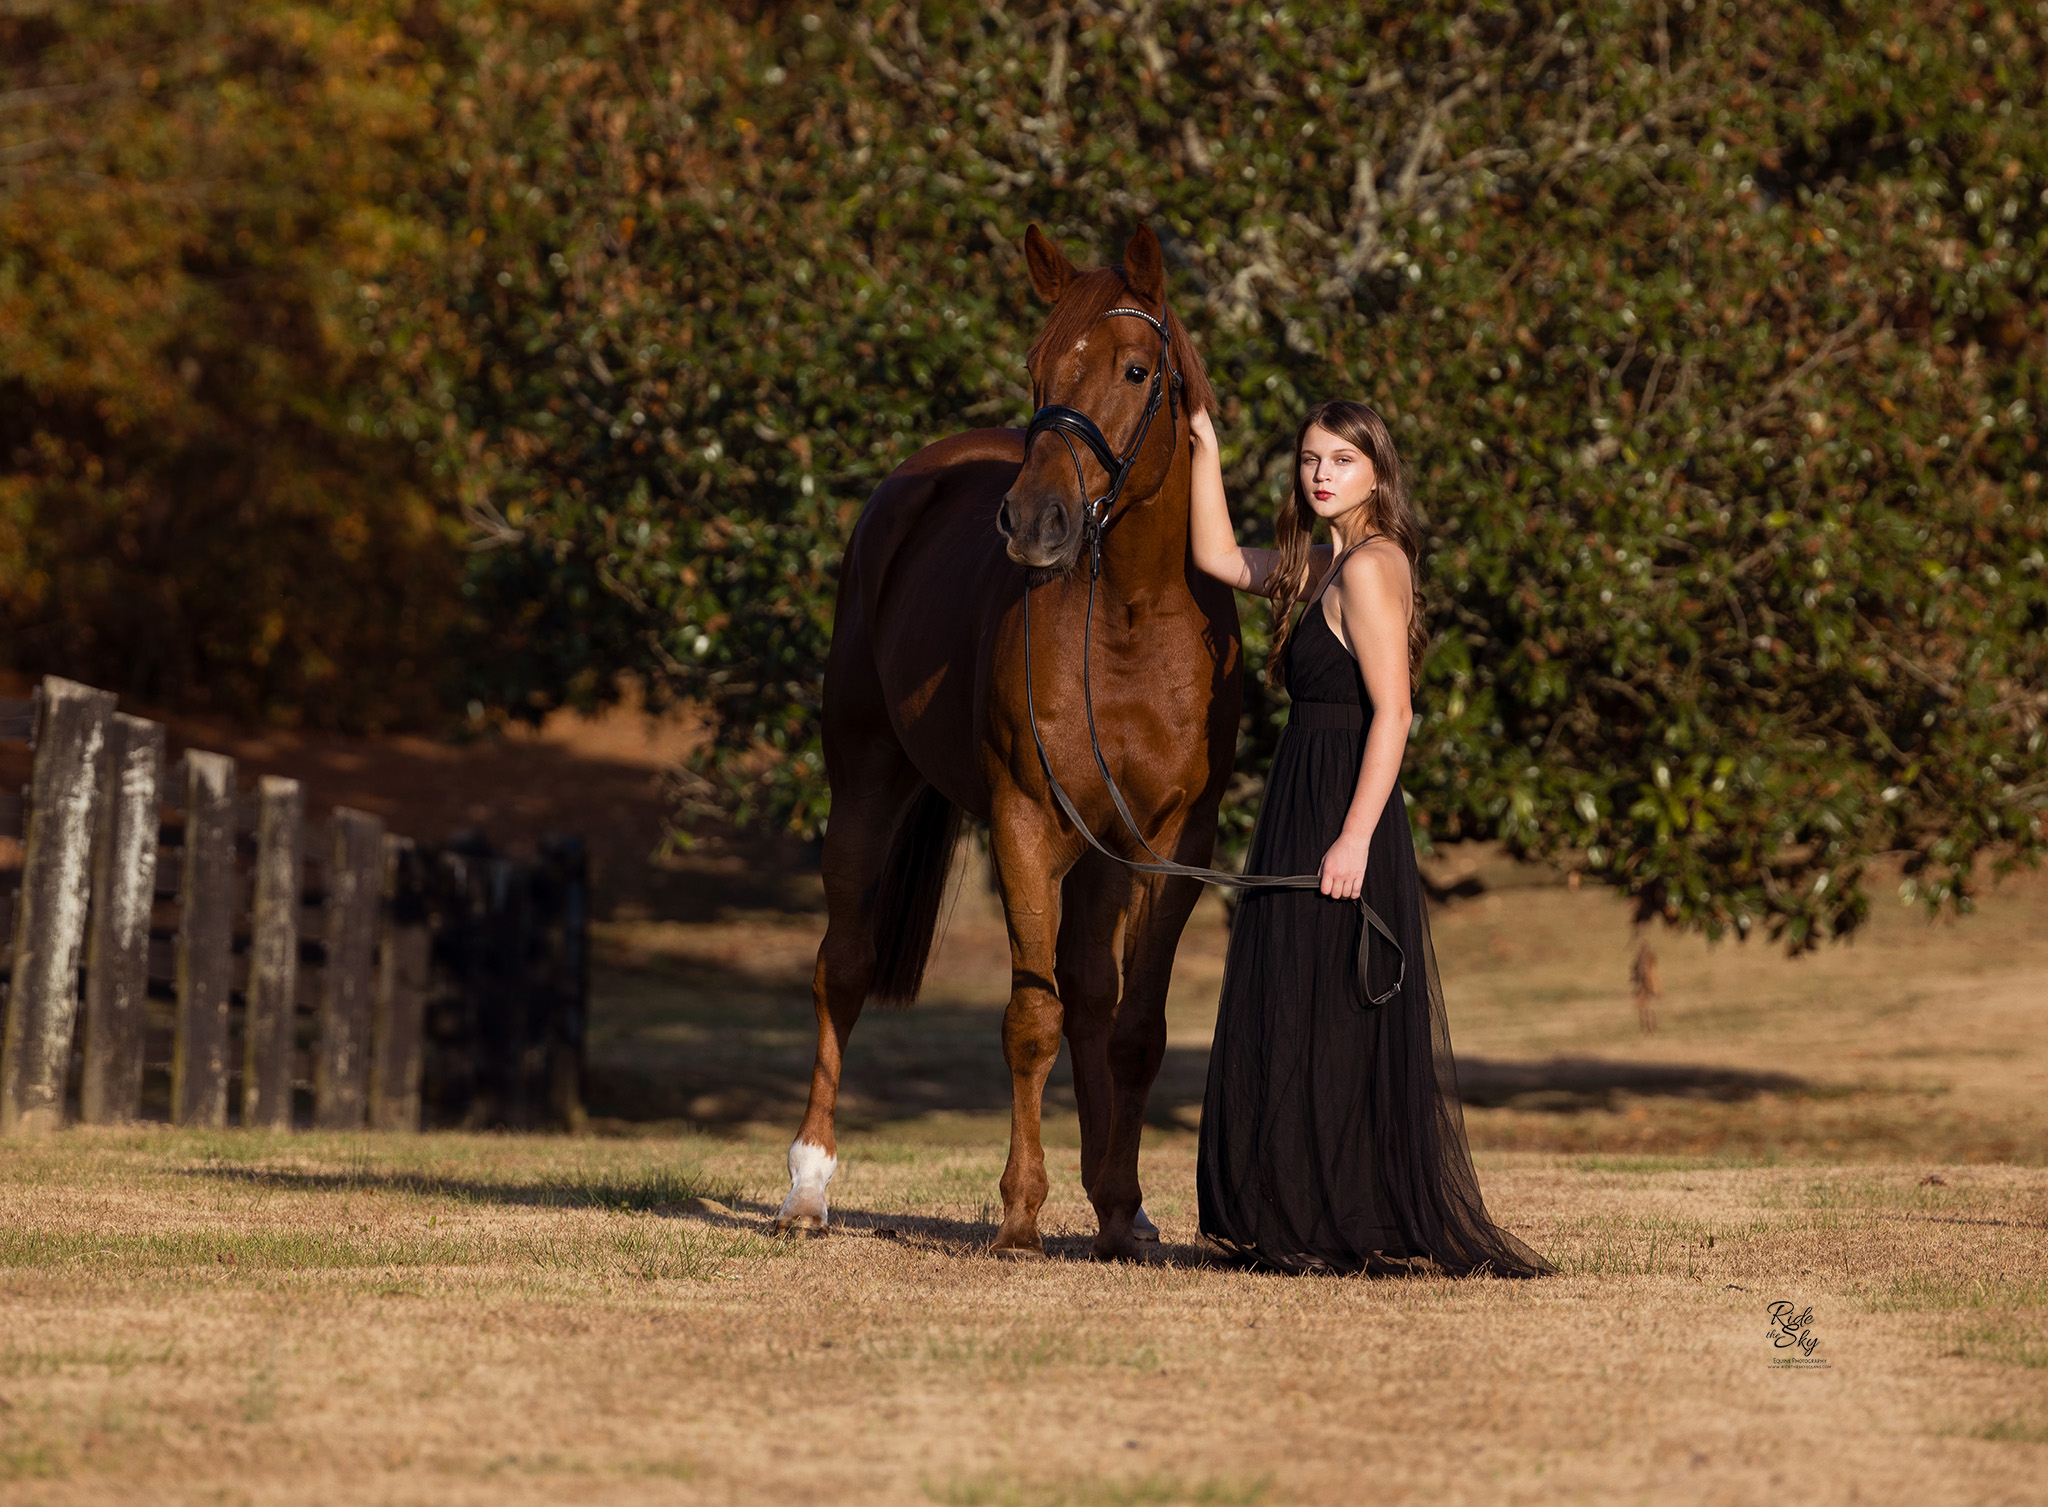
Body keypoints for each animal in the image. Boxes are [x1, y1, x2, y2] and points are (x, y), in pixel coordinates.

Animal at [774, 226, 1228, 1261]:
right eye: (1036, 367)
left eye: (1135, 369)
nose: (1033, 523)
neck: (1132, 617)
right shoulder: (1025, 821)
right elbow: (1032, 1015)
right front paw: (1021, 1212)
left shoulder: (1170, 842)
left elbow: (1131, 1024)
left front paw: (1121, 1207)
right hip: (865, 785)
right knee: (842, 965)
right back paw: (808, 1188)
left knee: (1095, 998)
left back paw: (1115, 1202)